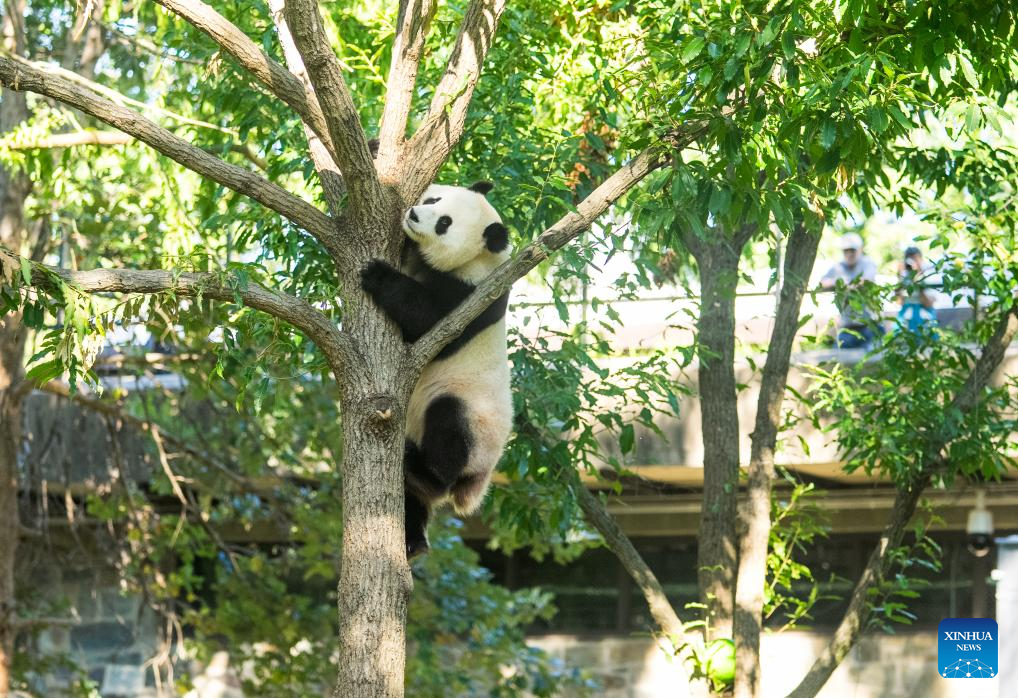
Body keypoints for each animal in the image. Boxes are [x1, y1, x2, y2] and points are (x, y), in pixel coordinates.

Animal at [359, 181, 513, 558]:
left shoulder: (473, 295)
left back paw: (424, 469)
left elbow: (427, 318)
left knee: (449, 427)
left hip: (473, 415)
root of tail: (479, 480)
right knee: (410, 498)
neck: (480, 258)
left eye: (445, 223)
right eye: (434, 199)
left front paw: (377, 275)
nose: (414, 214)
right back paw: (412, 540)